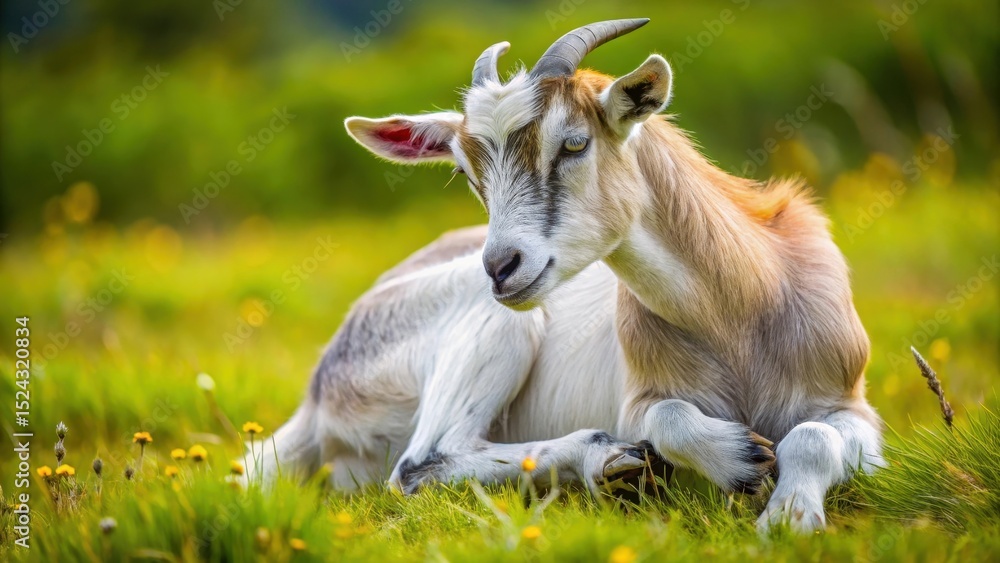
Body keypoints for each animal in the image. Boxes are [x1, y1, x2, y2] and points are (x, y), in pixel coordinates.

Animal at [261, 19, 884, 533]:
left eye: (575, 143)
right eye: (465, 173)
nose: (501, 268)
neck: (744, 307)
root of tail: (317, 390)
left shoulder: (851, 405)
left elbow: (812, 436)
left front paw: (790, 517)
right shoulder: (641, 396)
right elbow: (668, 418)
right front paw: (743, 462)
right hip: (499, 324)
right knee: (420, 464)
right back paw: (610, 460)